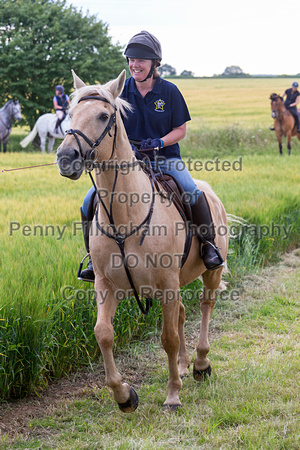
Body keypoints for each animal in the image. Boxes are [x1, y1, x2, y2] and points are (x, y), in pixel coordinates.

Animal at [56, 69, 229, 412]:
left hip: (210, 272)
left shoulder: (167, 282)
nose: (66, 157)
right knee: (182, 314)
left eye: (104, 115)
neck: (126, 214)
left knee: (205, 305)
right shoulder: (106, 283)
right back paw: (184, 365)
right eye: (70, 114)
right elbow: (103, 333)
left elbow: (168, 339)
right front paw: (124, 395)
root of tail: (210, 190)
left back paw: (201, 364)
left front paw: (173, 395)